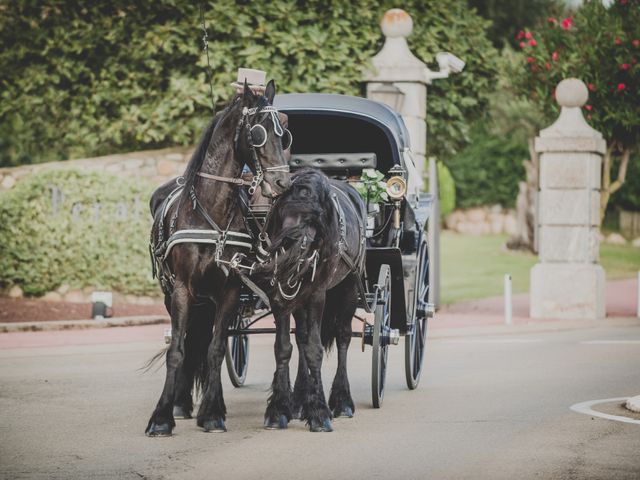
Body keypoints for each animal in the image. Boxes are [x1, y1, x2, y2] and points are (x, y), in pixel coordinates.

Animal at [145, 81, 290, 436]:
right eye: (258, 133)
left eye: (284, 133)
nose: (283, 182)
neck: (211, 212)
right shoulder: (182, 290)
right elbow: (177, 349)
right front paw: (162, 416)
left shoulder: (228, 291)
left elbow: (215, 348)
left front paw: (212, 413)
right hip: (174, 295)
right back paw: (181, 402)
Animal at [254, 168, 364, 432]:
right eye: (283, 214)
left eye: (313, 219)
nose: (291, 254)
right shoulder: (281, 299)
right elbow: (284, 347)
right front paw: (279, 409)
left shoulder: (316, 295)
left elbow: (315, 349)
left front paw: (319, 412)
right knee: (302, 337)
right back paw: (299, 401)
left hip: (349, 287)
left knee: (343, 336)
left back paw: (342, 401)